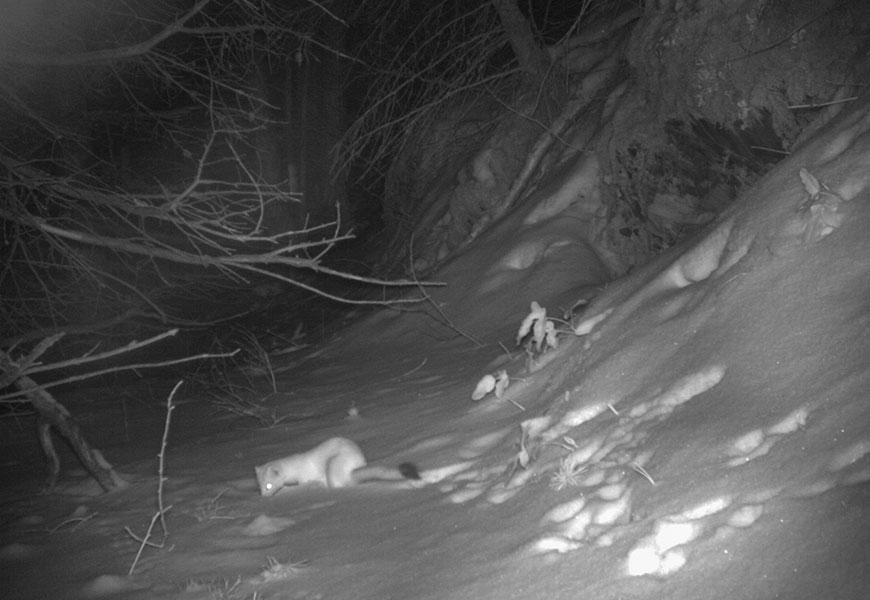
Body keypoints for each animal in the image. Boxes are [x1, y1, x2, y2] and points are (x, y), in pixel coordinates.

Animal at [254, 436, 420, 496]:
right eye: (260, 486)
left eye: (268, 486)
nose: (264, 497)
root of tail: (353, 467)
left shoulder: (305, 477)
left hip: (333, 463)